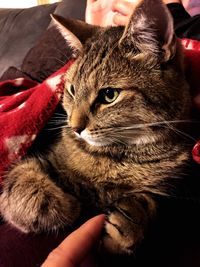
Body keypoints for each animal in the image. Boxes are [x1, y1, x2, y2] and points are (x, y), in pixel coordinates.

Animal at [0, 0, 192, 254]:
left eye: (109, 95)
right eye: (71, 89)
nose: (74, 127)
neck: (119, 156)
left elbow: (150, 200)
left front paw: (132, 218)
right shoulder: (41, 157)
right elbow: (21, 179)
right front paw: (56, 205)